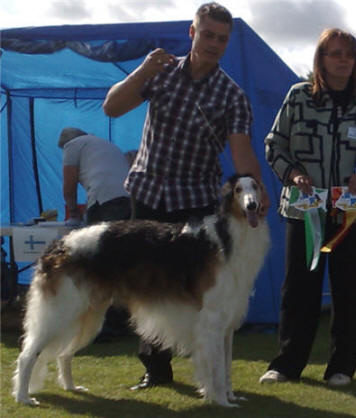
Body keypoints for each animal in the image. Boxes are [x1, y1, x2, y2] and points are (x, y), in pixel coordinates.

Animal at [13, 175, 270, 406]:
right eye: (238, 190)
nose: (251, 205)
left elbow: (226, 368)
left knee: (64, 354)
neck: (227, 238)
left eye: (255, 187)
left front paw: (231, 396)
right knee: (27, 355)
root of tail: (57, 246)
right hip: (60, 313)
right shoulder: (211, 322)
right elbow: (216, 369)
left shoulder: (226, 324)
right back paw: (24, 397)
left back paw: (71, 387)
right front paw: (221, 401)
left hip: (88, 317)